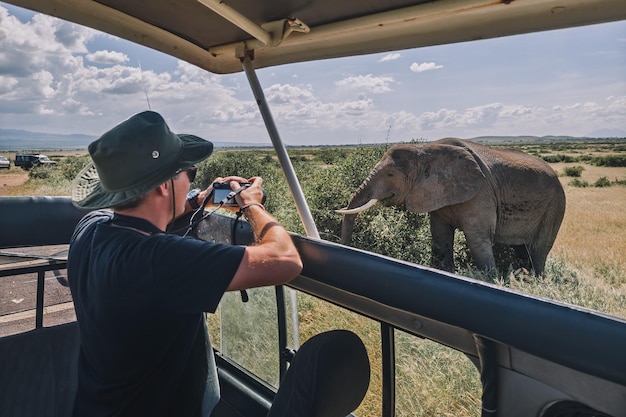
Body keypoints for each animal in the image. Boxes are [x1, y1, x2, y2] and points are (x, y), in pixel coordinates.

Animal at [336, 138, 564, 274]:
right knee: (522, 250)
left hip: (555, 205)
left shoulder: (481, 192)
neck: (427, 149)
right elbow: (440, 234)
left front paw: (490, 279)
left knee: (538, 250)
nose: (345, 246)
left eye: (391, 174)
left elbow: (477, 238)